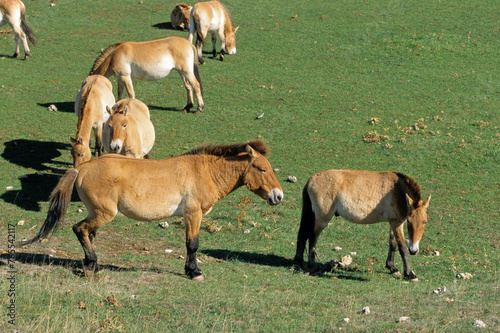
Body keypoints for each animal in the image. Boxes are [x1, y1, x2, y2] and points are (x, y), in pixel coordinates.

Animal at [21, 139, 286, 278]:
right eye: (262, 169)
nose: (278, 196)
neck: (205, 172)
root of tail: (82, 168)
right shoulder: (193, 214)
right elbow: (192, 244)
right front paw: (194, 271)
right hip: (104, 214)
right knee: (80, 229)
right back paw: (93, 263)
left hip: (96, 213)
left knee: (88, 233)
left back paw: (90, 263)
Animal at [292, 170, 430, 282]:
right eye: (409, 221)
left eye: (425, 222)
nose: (414, 250)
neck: (397, 190)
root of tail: (311, 179)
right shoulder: (397, 223)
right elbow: (402, 248)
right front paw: (410, 274)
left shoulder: (394, 223)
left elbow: (393, 244)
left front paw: (392, 268)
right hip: (322, 220)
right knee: (312, 237)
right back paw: (311, 265)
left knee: (304, 235)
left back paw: (299, 261)